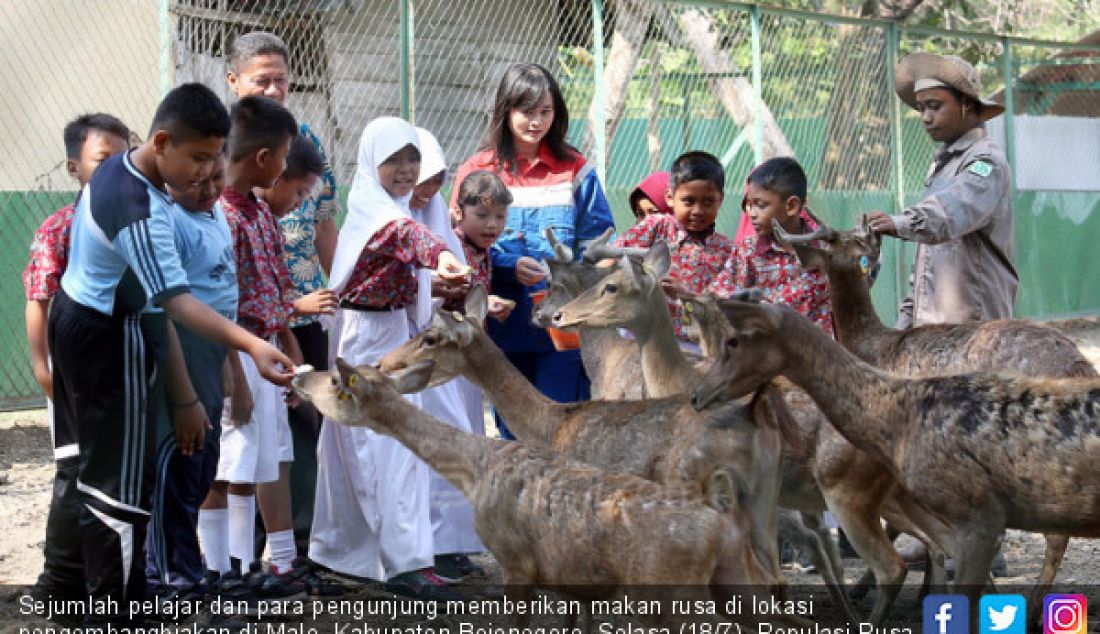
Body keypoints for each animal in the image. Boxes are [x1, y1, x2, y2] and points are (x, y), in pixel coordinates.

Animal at [292, 358, 774, 625]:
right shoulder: (573, 579)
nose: (300, 377)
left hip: (665, 590)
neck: (475, 473)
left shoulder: (516, 560)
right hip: (735, 576)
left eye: (335, 384)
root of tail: (720, 521)